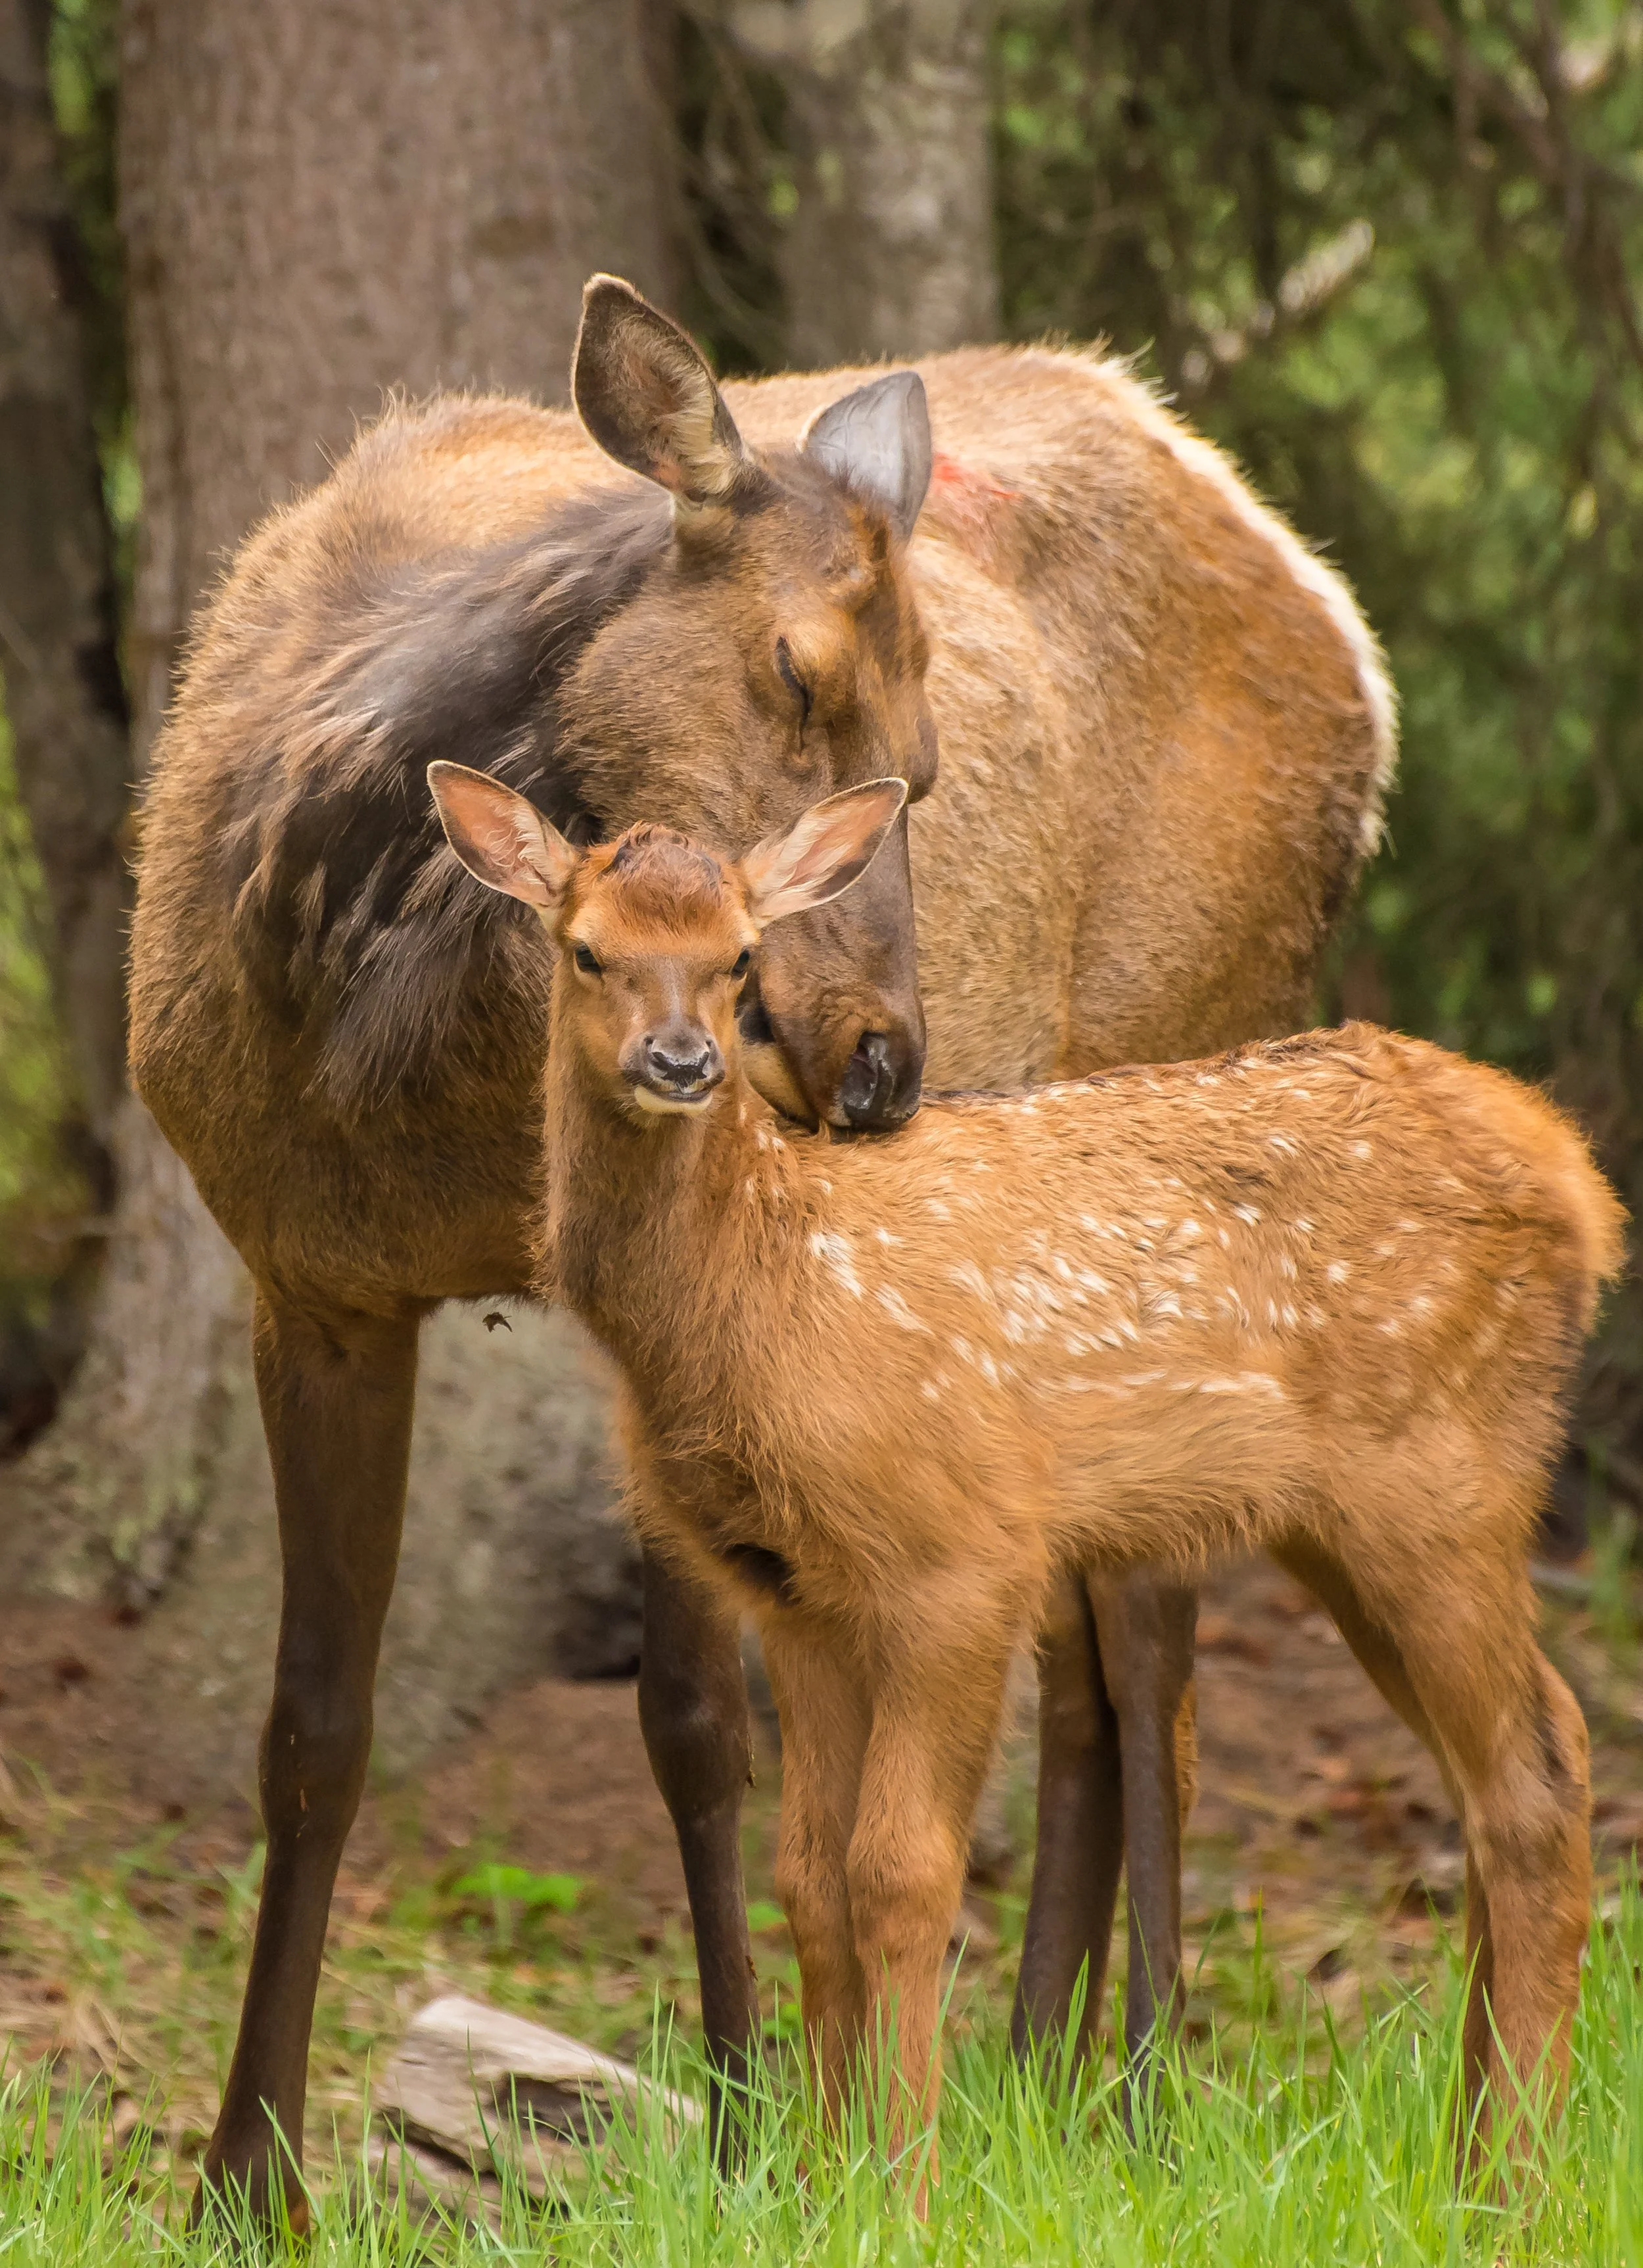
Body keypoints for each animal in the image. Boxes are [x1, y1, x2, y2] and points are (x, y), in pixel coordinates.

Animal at [127, 275, 1393, 2221]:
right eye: (800, 675)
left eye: (930, 763)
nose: (879, 1060)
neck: (381, 1037)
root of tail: (1342, 629)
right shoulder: (306, 1280)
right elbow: (313, 1733)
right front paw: (246, 2178)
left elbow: (696, 1725)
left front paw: (742, 2123)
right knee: (1084, 1650)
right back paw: (1030, 2072)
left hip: (1193, 1056)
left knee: (1158, 1644)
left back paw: (1143, 2092)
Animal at [427, 759, 1621, 2165]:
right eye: (588, 951)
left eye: (737, 958)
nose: (682, 1060)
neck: (772, 1297)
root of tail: (1577, 1180)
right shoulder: (793, 1589)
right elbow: (808, 1877)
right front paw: (830, 2172)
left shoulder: (961, 1553)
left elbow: (900, 1872)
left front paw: (904, 2173)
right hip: (1353, 1521)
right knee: (1504, 1776)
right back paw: (1469, 2154)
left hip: (1442, 1478)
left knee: (1539, 1779)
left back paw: (1513, 2173)